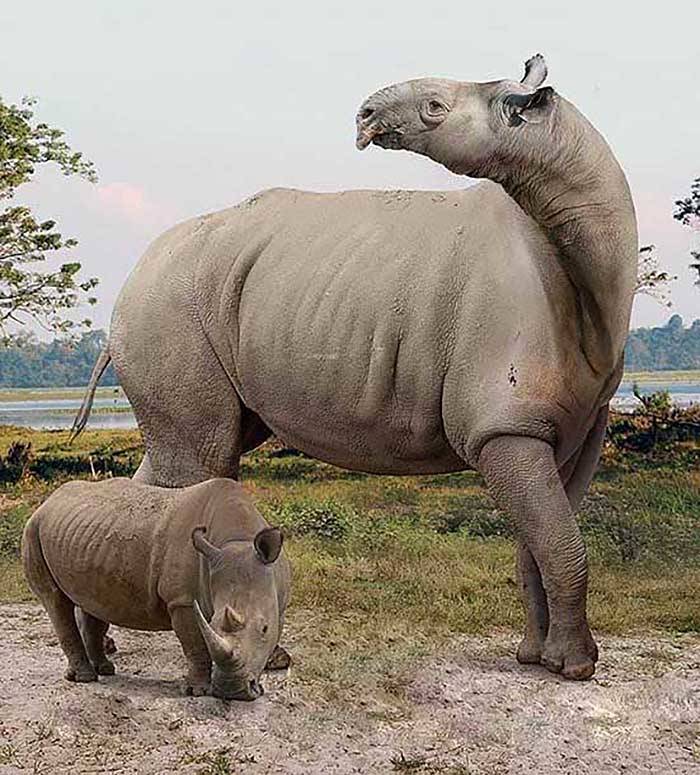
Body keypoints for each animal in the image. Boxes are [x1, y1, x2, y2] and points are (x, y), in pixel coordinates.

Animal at [73, 55, 637, 680]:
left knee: (184, 458)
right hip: (170, 303)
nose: (364, 116)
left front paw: (541, 660)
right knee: (202, 459)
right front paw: (578, 668)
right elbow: (562, 542)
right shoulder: (503, 425)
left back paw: (122, 644)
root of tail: (133, 276)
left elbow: (542, 542)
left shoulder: (573, 425)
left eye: (434, 109)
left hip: (198, 298)